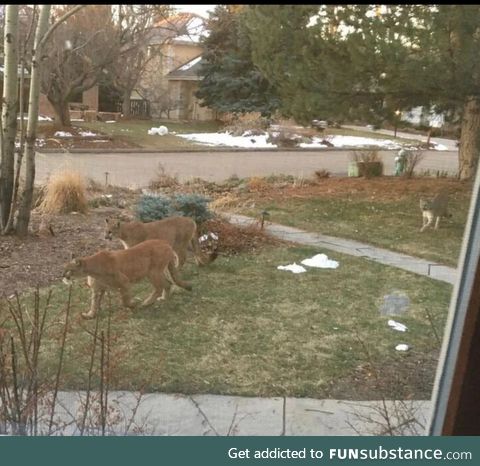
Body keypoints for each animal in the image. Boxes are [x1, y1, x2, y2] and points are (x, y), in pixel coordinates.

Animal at [62, 238, 192, 318]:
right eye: (63, 268)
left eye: (69, 270)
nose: (63, 276)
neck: (92, 269)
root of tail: (165, 243)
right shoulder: (98, 289)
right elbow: (94, 303)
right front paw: (90, 315)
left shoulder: (124, 282)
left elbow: (124, 300)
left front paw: (132, 305)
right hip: (157, 272)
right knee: (168, 283)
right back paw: (163, 298)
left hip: (153, 272)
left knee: (160, 286)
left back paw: (146, 303)